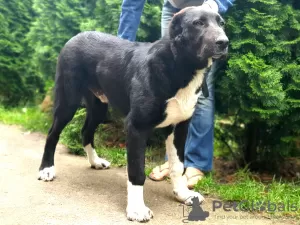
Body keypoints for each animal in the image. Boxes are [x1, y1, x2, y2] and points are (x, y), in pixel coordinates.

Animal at [38, 6, 229, 222]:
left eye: (221, 23)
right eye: (198, 23)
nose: (224, 42)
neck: (178, 65)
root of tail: (76, 36)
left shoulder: (179, 128)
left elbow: (178, 165)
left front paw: (182, 194)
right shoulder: (136, 127)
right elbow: (137, 171)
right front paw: (137, 209)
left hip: (99, 107)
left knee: (86, 131)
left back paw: (95, 161)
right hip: (67, 102)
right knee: (52, 134)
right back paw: (46, 169)